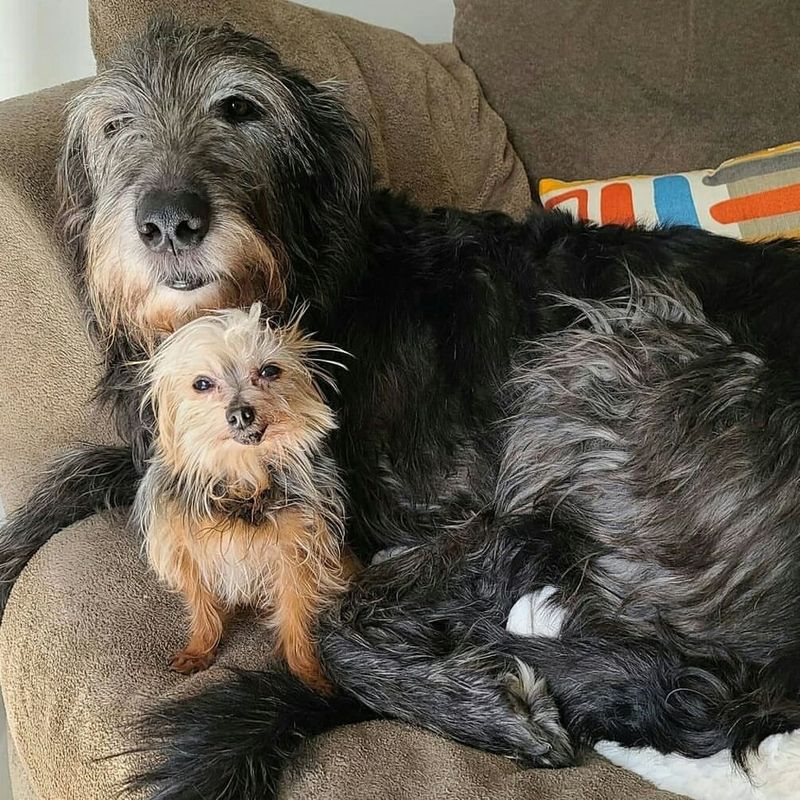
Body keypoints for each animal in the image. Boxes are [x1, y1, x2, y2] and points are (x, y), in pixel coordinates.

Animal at [135, 304, 356, 692]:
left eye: (269, 370)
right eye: (202, 384)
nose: (240, 413)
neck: (242, 477)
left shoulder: (297, 554)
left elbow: (297, 617)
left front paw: (309, 675)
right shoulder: (187, 549)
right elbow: (202, 605)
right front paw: (200, 649)